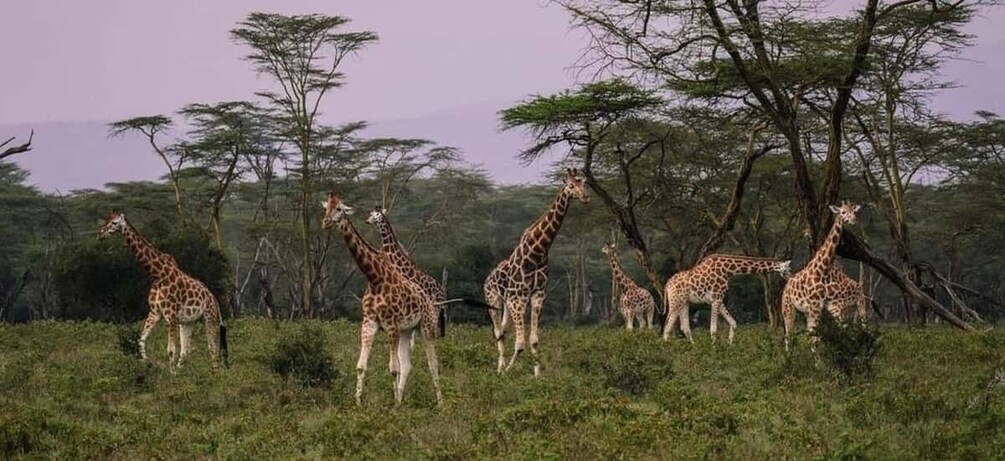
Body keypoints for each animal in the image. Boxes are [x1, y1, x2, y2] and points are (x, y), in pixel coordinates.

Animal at [97, 209, 228, 369]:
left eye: (114, 223)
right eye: (106, 220)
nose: (100, 234)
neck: (157, 274)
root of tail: (213, 298)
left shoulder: (170, 314)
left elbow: (171, 349)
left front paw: (170, 373)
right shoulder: (155, 312)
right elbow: (141, 341)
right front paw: (147, 363)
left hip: (209, 316)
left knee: (212, 348)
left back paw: (215, 372)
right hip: (188, 322)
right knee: (186, 350)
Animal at [322, 192, 443, 406]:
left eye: (340, 209)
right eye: (325, 207)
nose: (325, 222)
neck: (375, 278)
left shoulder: (391, 325)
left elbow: (393, 368)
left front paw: (393, 406)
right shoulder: (369, 322)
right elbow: (361, 366)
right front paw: (358, 403)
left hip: (427, 326)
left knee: (433, 363)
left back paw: (441, 404)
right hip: (407, 329)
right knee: (408, 364)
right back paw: (402, 400)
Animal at [484, 168, 589, 376]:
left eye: (584, 182)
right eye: (571, 185)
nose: (585, 196)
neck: (538, 253)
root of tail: (488, 278)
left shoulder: (538, 295)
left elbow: (533, 340)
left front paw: (537, 375)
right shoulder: (518, 298)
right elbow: (520, 344)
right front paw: (507, 371)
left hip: (507, 303)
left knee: (503, 330)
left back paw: (501, 366)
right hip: (493, 300)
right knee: (497, 332)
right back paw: (499, 368)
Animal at [662, 254, 792, 344]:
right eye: (788, 269)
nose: (791, 277)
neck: (728, 270)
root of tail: (667, 285)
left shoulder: (718, 299)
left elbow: (733, 323)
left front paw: (729, 345)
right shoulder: (716, 297)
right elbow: (713, 329)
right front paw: (714, 349)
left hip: (684, 302)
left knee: (684, 327)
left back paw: (693, 347)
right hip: (676, 301)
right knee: (667, 325)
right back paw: (664, 348)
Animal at [781, 201, 861, 350]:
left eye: (854, 211)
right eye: (842, 212)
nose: (854, 220)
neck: (823, 270)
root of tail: (787, 285)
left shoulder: (821, 307)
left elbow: (817, 336)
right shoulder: (815, 306)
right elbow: (816, 338)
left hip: (806, 311)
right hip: (788, 308)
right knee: (788, 335)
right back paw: (787, 355)